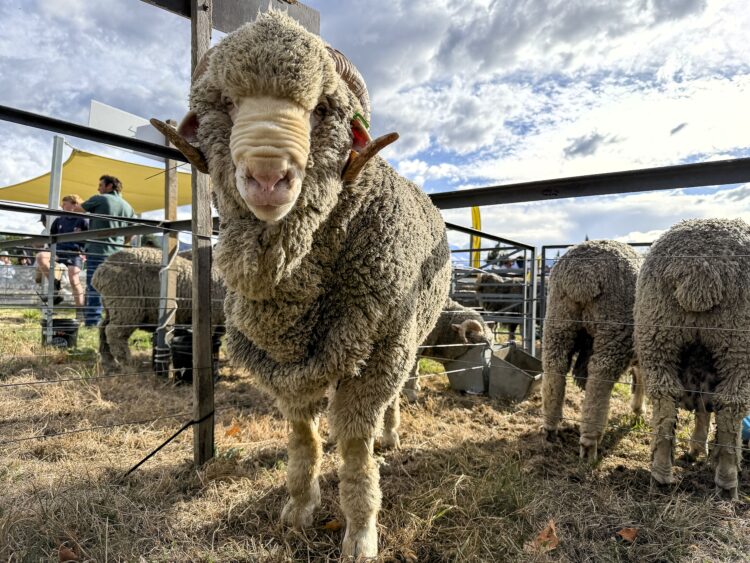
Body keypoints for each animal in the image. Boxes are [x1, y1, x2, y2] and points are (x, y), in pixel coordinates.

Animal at [92, 247, 225, 370]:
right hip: (128, 306)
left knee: (102, 327)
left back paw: (108, 361)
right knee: (114, 333)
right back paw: (127, 364)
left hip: (112, 307)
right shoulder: (213, 318)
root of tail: (102, 268)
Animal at [153, 12, 451, 558]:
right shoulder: (283, 363)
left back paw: (389, 437)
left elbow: (355, 447)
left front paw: (360, 531)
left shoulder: (381, 349)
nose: (268, 177)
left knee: (395, 396)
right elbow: (302, 436)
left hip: (407, 336)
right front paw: (298, 507)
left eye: (321, 109)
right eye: (226, 102)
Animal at [542, 240, 642, 461]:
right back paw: (590, 443)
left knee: (555, 368)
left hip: (558, 320)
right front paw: (639, 410)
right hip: (615, 327)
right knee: (600, 378)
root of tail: (583, 273)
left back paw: (550, 428)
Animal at [634, 218, 750, 498]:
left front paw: (698, 448)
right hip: (739, 342)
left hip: (657, 332)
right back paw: (728, 480)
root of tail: (700, 267)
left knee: (665, 399)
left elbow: (703, 406)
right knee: (732, 405)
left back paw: (661, 474)